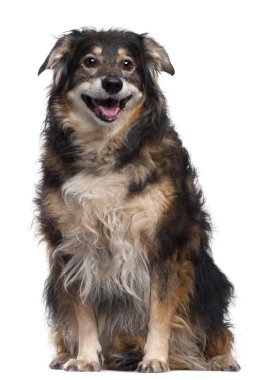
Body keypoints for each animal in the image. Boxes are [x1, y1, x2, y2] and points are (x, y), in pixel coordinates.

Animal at [35, 28, 239, 372]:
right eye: (90, 62)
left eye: (127, 64)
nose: (112, 83)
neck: (105, 150)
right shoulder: (74, 247)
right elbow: (83, 312)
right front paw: (85, 358)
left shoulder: (164, 245)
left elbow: (160, 311)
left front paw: (155, 358)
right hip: (54, 283)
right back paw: (66, 354)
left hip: (209, 280)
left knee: (216, 329)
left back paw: (221, 359)